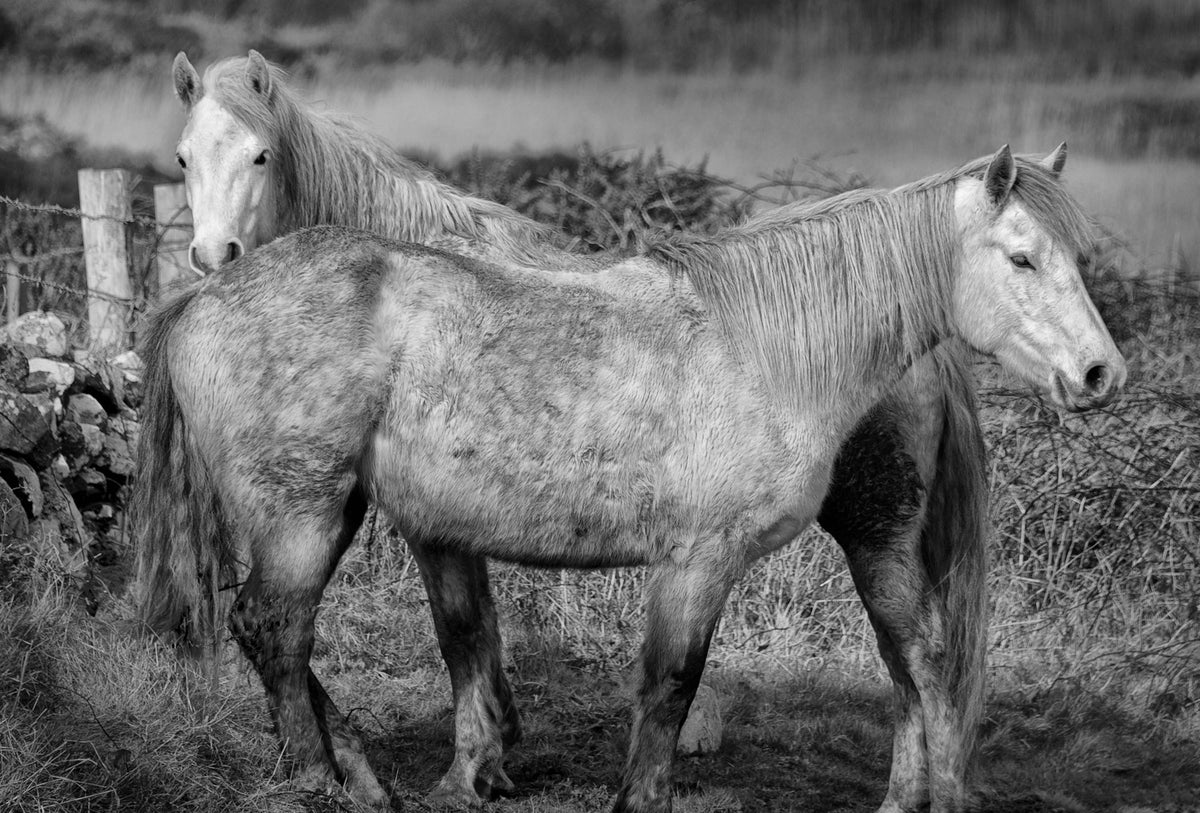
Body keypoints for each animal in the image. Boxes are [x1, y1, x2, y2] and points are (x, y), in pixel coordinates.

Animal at [152, 51, 1088, 811]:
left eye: (260, 155)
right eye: (184, 159)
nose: (1098, 371)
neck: (761, 337)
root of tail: (204, 302)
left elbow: (500, 644)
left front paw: (479, 764)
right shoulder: (452, 524)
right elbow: (474, 637)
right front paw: (475, 765)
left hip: (875, 532)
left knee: (915, 659)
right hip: (309, 513)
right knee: (272, 626)